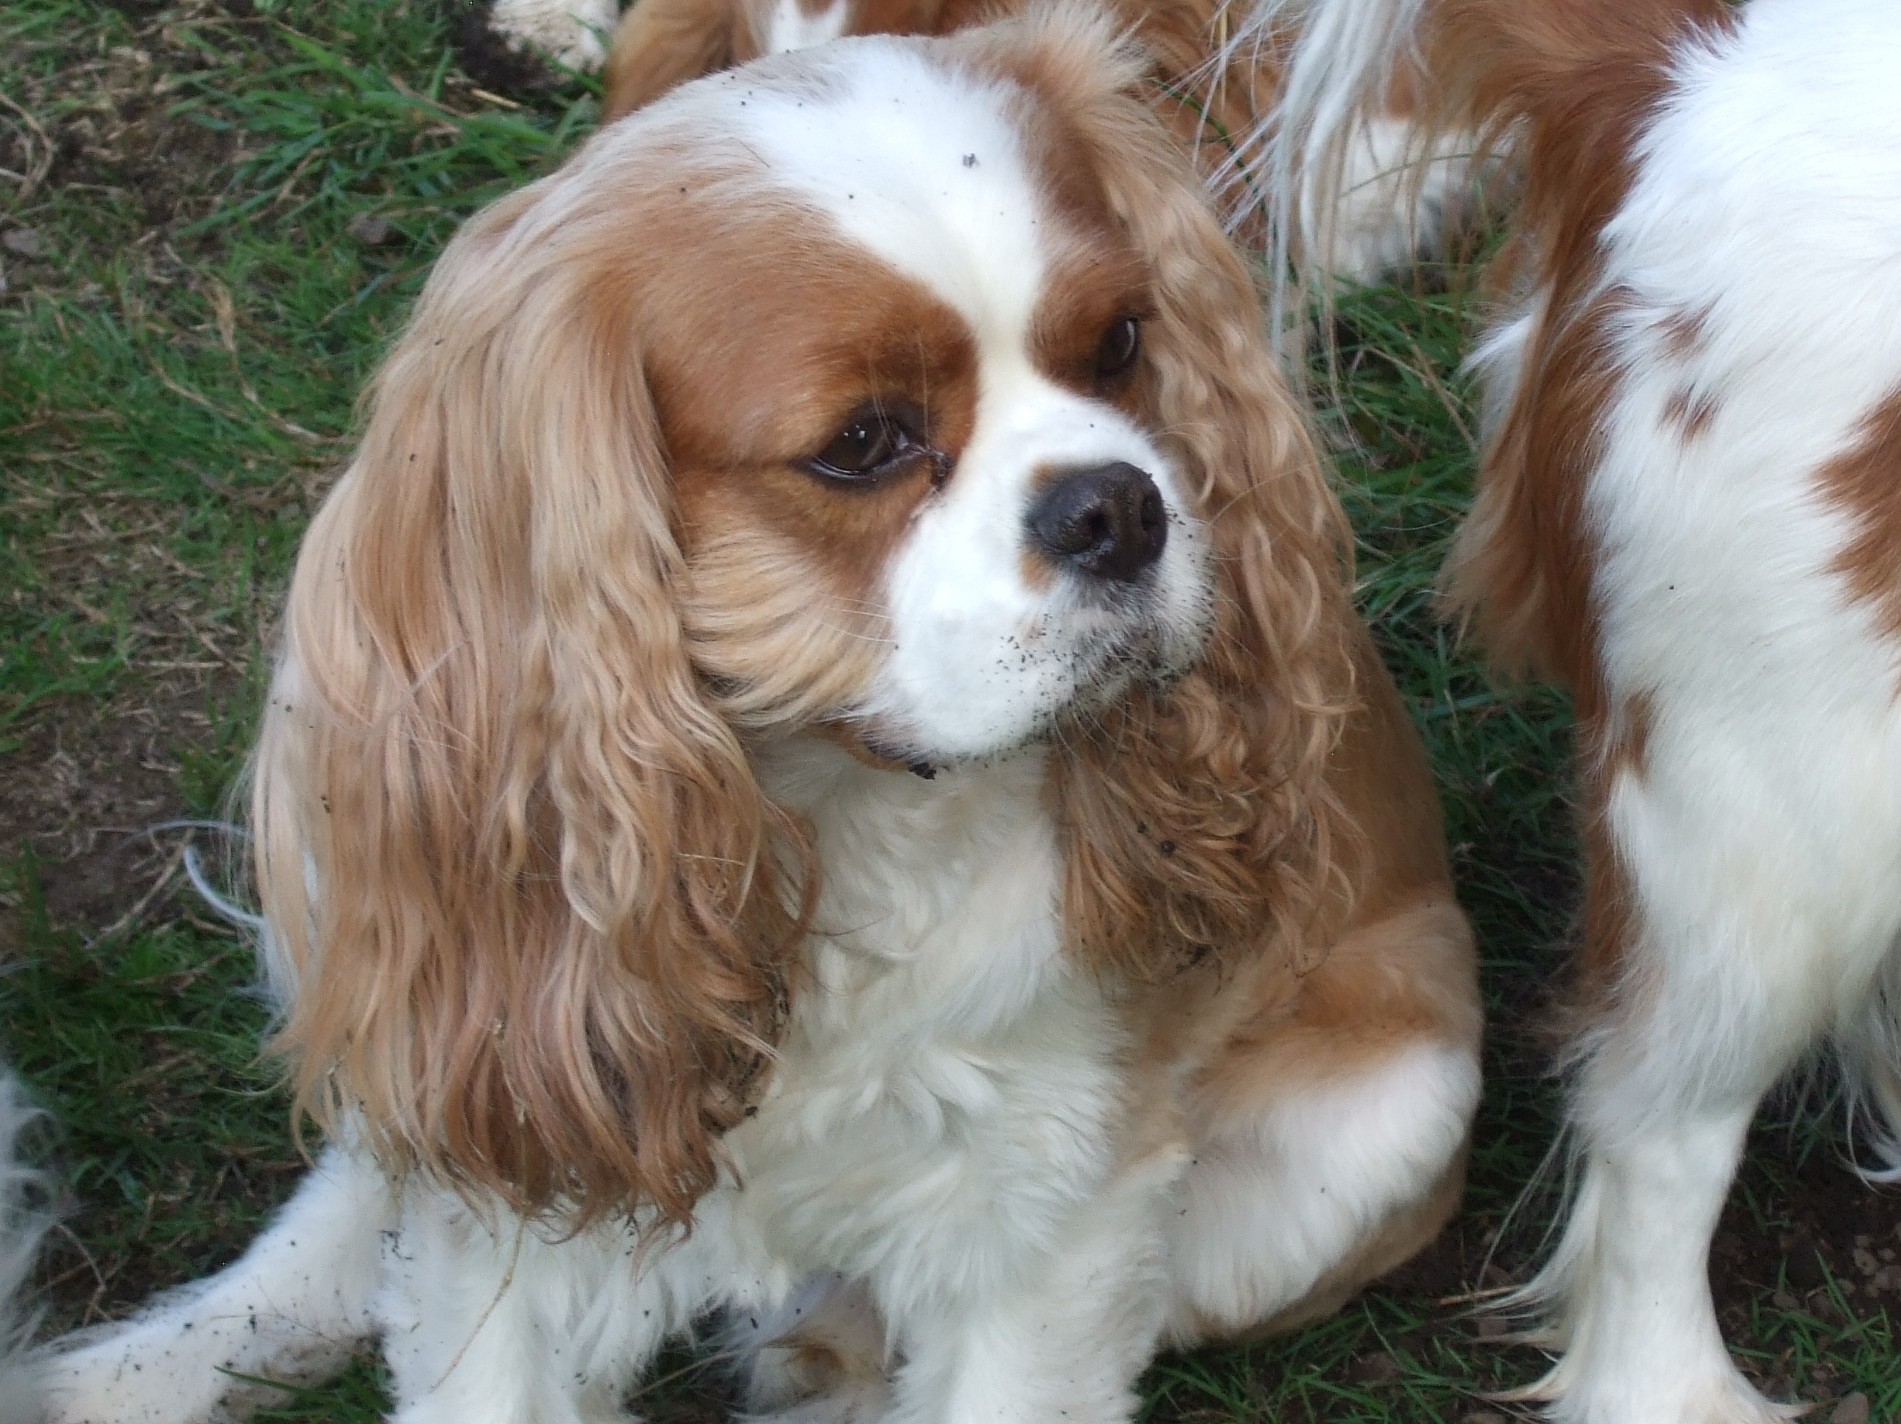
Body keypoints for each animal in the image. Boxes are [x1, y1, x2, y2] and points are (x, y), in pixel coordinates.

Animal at [37, 11, 1475, 1422]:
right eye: (862, 443)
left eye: (1122, 343)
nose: (1117, 506)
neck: (824, 813)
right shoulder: (504, 1166)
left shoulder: (1049, 1216)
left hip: (1377, 1128)